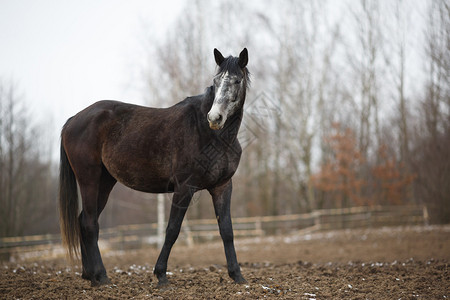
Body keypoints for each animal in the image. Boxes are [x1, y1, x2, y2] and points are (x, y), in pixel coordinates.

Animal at [58, 48, 250, 288]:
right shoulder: (184, 188)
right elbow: (172, 230)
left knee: (83, 220)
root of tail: (74, 119)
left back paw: (90, 275)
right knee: (90, 223)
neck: (211, 134)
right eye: (215, 81)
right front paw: (161, 275)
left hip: (105, 182)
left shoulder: (222, 187)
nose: (215, 118)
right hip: (89, 180)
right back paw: (101, 277)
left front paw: (237, 275)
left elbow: (227, 230)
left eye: (236, 80)